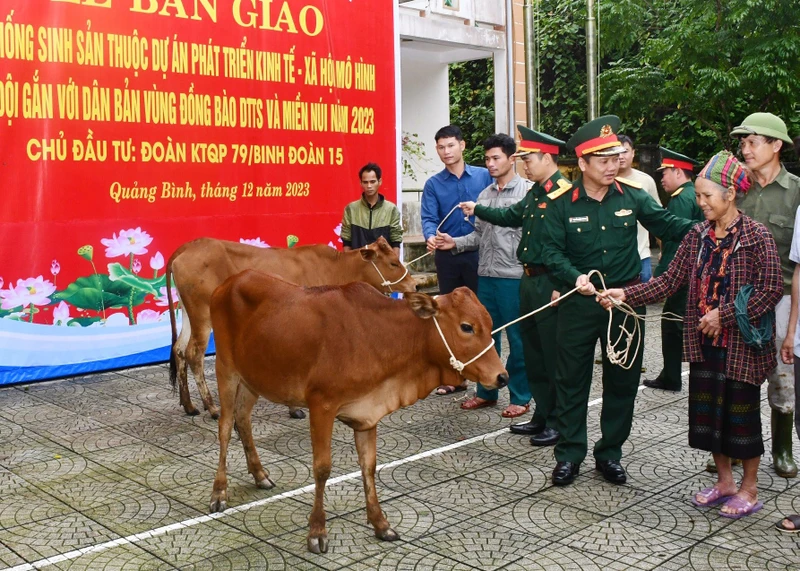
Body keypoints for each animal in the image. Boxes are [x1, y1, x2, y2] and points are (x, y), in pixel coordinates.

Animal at [168, 235, 418, 418]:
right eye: (393, 263)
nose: (414, 284)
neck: (336, 268)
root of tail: (188, 246)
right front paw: (296, 408)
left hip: (188, 314)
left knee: (178, 349)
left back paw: (189, 405)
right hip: (202, 315)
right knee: (193, 354)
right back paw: (212, 407)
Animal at [206, 272, 506, 556]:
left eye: (491, 323)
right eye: (467, 326)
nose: (502, 377)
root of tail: (228, 282)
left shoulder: (367, 415)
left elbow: (368, 467)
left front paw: (381, 524)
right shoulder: (322, 405)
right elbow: (322, 468)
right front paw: (317, 532)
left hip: (253, 378)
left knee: (243, 420)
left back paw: (259, 475)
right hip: (226, 370)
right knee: (225, 427)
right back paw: (219, 492)